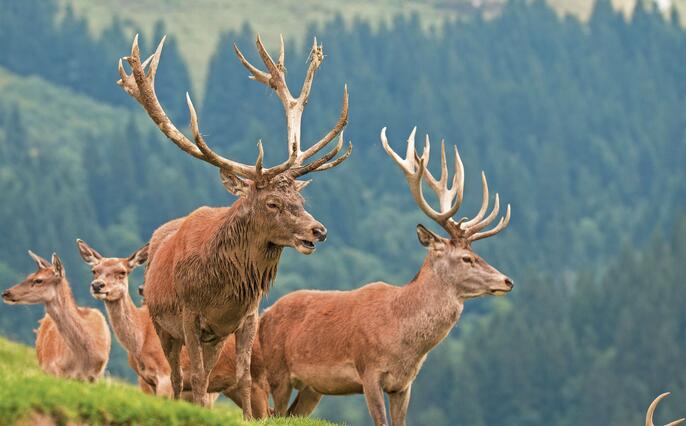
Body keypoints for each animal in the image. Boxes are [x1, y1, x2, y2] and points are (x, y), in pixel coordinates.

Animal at [77, 239, 270, 417]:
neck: (141, 341)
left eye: (122, 272)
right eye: (94, 270)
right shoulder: (147, 381)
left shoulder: (163, 375)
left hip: (259, 382)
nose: (97, 285)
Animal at [116, 33, 351, 417]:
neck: (221, 292)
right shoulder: (189, 315)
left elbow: (243, 378)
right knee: (180, 378)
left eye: (301, 201)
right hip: (164, 325)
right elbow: (194, 378)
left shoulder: (244, 318)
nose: (319, 231)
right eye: (272, 203)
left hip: (215, 337)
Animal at [258, 127, 512, 426]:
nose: (507, 281)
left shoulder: (404, 384)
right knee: (272, 412)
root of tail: (264, 314)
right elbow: (380, 420)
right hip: (276, 370)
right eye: (466, 258)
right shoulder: (368, 370)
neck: (401, 338)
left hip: (312, 387)